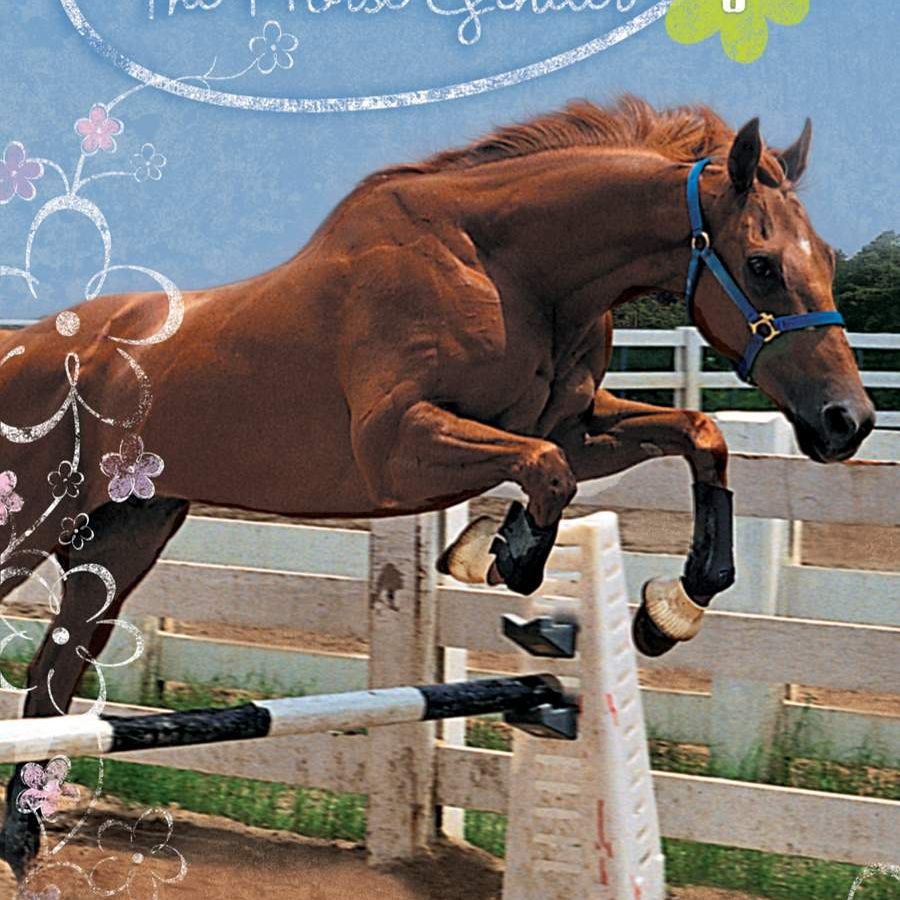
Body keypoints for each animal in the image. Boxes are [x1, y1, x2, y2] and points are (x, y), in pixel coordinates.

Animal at [0, 96, 874, 876]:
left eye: (827, 259)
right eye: (762, 265)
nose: (848, 422)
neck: (509, 268)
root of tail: (24, 349)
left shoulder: (576, 427)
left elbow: (697, 439)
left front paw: (670, 611)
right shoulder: (399, 447)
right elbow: (544, 475)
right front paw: (501, 553)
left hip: (126, 537)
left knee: (50, 686)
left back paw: (23, 842)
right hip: (29, 527)